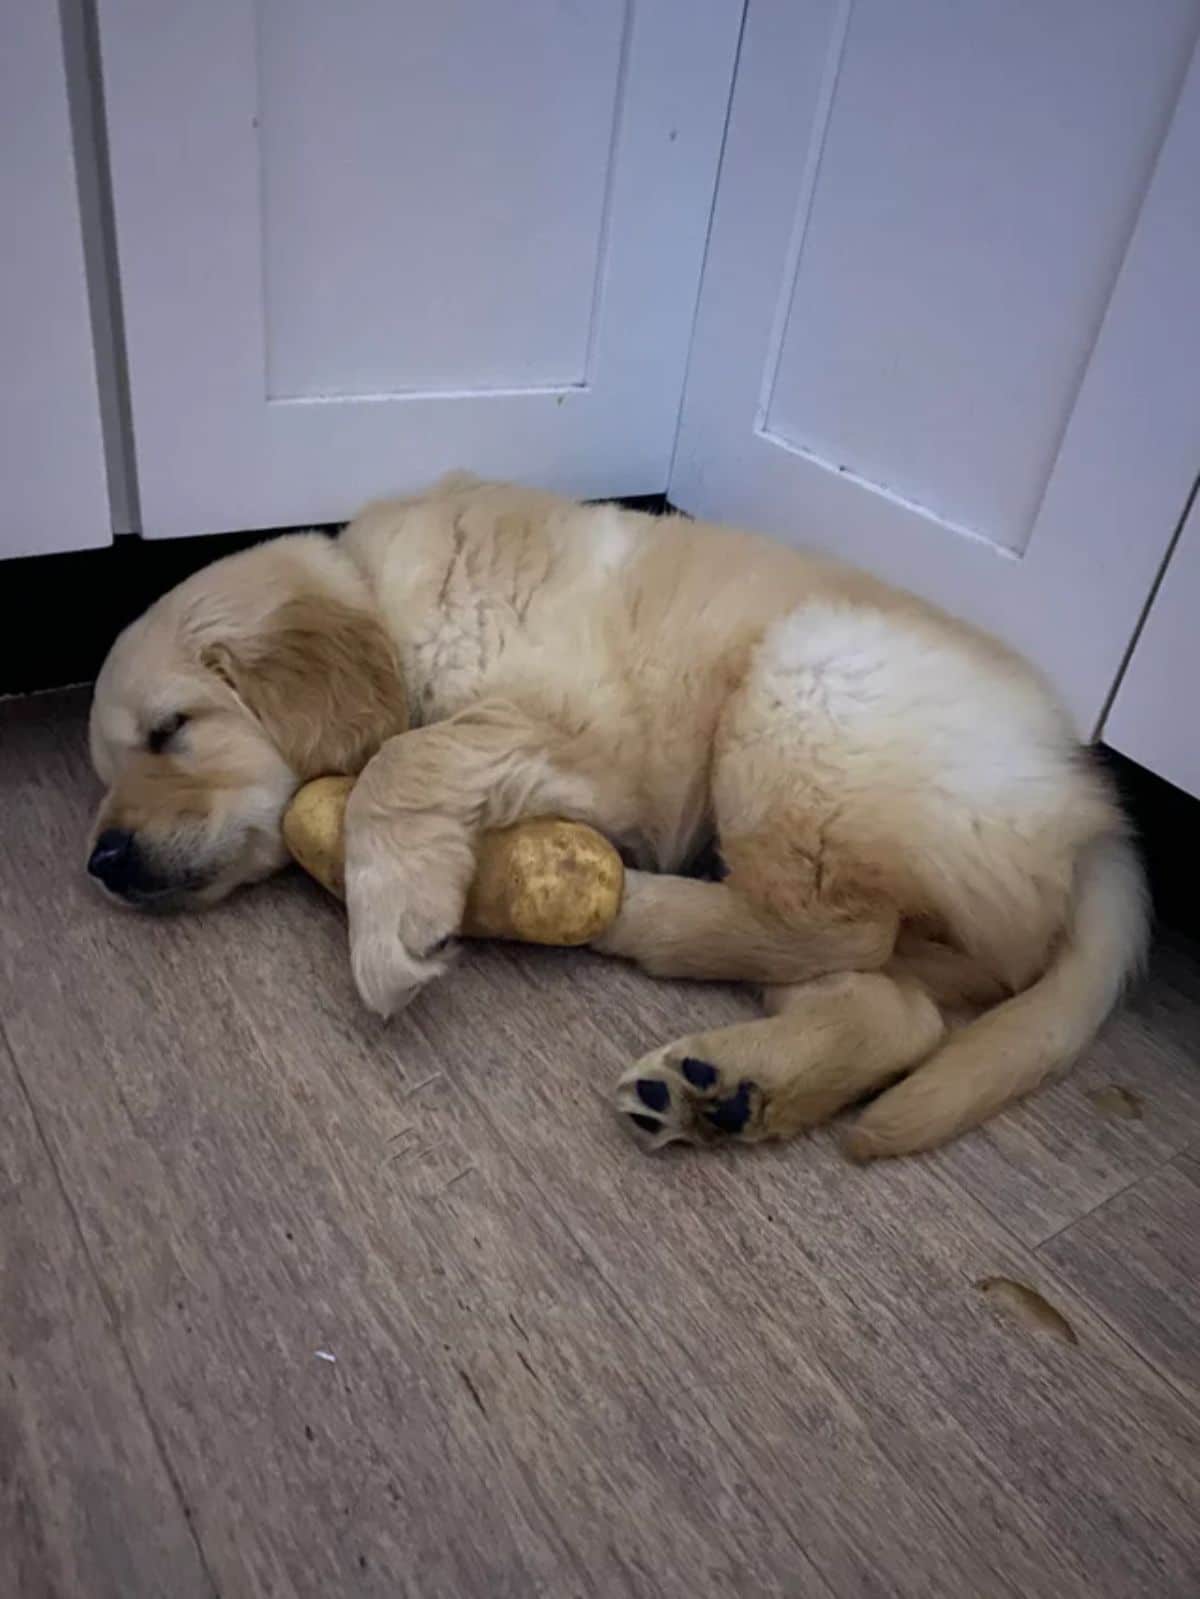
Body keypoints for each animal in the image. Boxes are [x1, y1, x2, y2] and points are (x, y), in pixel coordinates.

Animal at [86, 473, 1145, 1164]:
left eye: (172, 730)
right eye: (109, 765)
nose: (102, 860)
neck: (386, 600)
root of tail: (1093, 809)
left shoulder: (578, 734)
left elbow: (401, 758)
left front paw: (391, 928)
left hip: (805, 686)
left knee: (840, 926)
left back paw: (638, 910)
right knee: (902, 1005)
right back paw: (725, 1088)